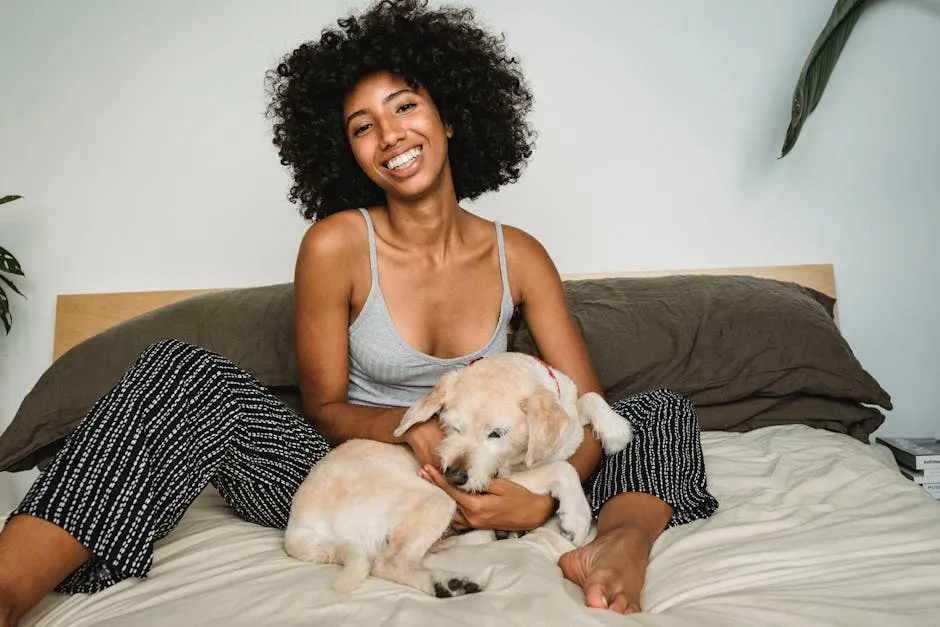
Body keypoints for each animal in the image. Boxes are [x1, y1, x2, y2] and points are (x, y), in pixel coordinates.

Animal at [280, 354, 632, 600]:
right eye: (452, 427)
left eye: (496, 433)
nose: (454, 476)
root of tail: (298, 530)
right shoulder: (503, 481)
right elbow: (561, 469)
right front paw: (577, 517)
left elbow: (588, 399)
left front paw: (615, 430)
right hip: (434, 498)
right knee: (388, 562)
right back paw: (445, 584)